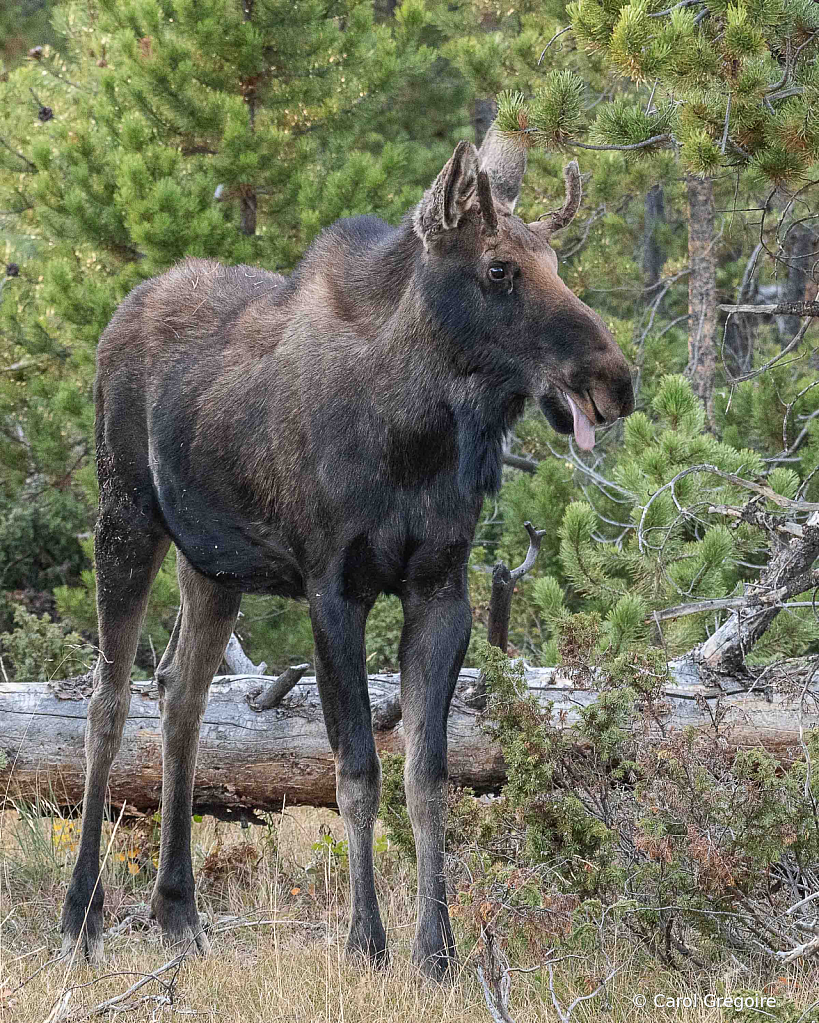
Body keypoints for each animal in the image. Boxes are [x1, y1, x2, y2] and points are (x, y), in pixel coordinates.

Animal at [62, 123, 633, 977]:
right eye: (499, 267)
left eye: (557, 262)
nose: (613, 380)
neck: (416, 436)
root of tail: (116, 315)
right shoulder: (333, 586)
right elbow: (357, 770)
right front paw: (367, 940)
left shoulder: (440, 589)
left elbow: (425, 774)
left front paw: (437, 949)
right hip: (125, 514)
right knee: (106, 701)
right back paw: (82, 915)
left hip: (212, 564)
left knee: (179, 695)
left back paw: (180, 913)